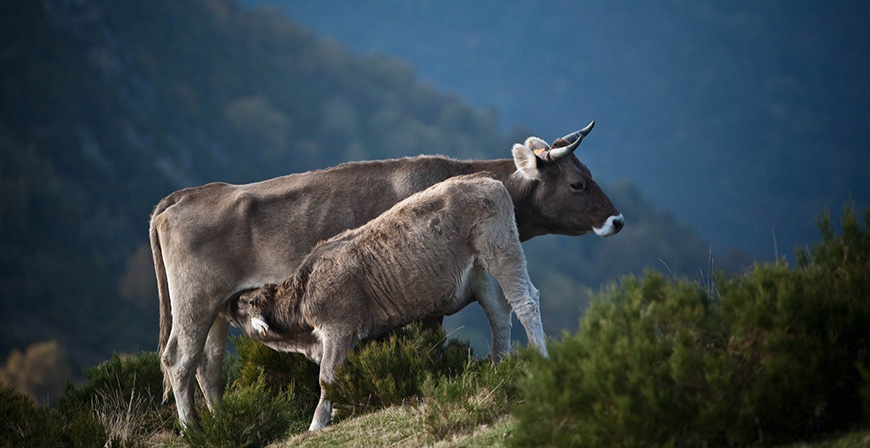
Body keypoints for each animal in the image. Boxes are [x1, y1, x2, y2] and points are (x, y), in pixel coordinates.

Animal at [228, 175, 548, 430]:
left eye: (244, 306)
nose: (230, 304)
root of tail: (485, 179)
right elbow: (343, 374)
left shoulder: (339, 328)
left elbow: (327, 376)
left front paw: (317, 424)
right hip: (481, 273)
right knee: (499, 314)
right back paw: (499, 366)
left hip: (501, 250)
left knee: (525, 302)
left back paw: (540, 357)